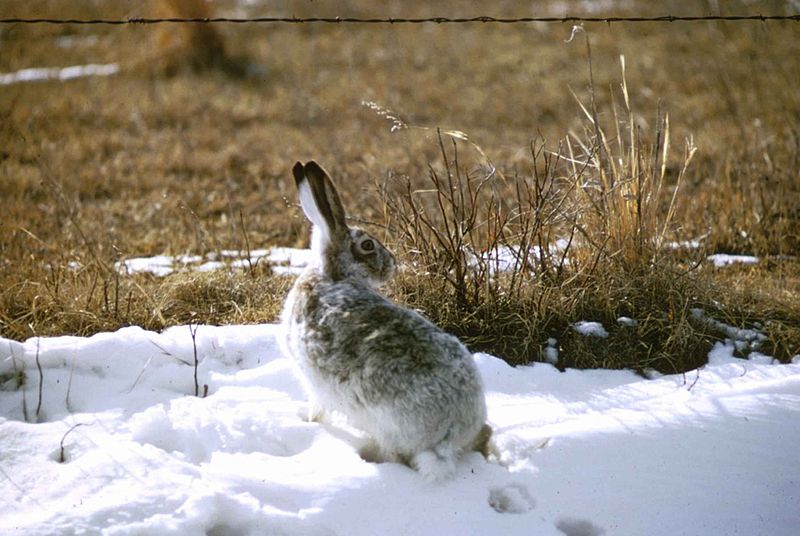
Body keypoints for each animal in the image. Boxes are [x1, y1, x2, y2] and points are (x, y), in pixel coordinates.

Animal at [282, 160, 494, 482]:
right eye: (368, 245)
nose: (393, 265)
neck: (333, 275)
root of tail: (451, 431)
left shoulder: (313, 381)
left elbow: (317, 407)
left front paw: (310, 422)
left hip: (387, 426)